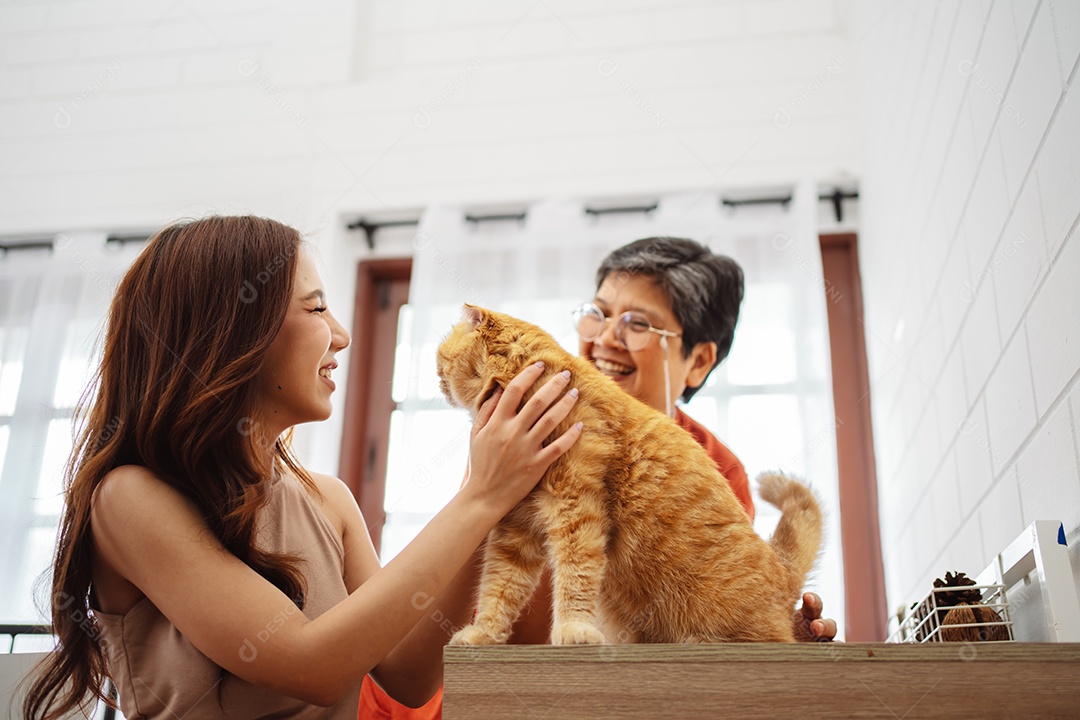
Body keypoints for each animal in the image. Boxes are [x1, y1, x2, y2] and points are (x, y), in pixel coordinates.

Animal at [434, 306, 820, 643]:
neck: (537, 385)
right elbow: (499, 588)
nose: (436, 376)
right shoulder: (514, 527)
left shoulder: (577, 509)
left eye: (440, 356)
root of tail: (781, 570)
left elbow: (575, 574)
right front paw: (482, 634)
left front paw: (573, 629)